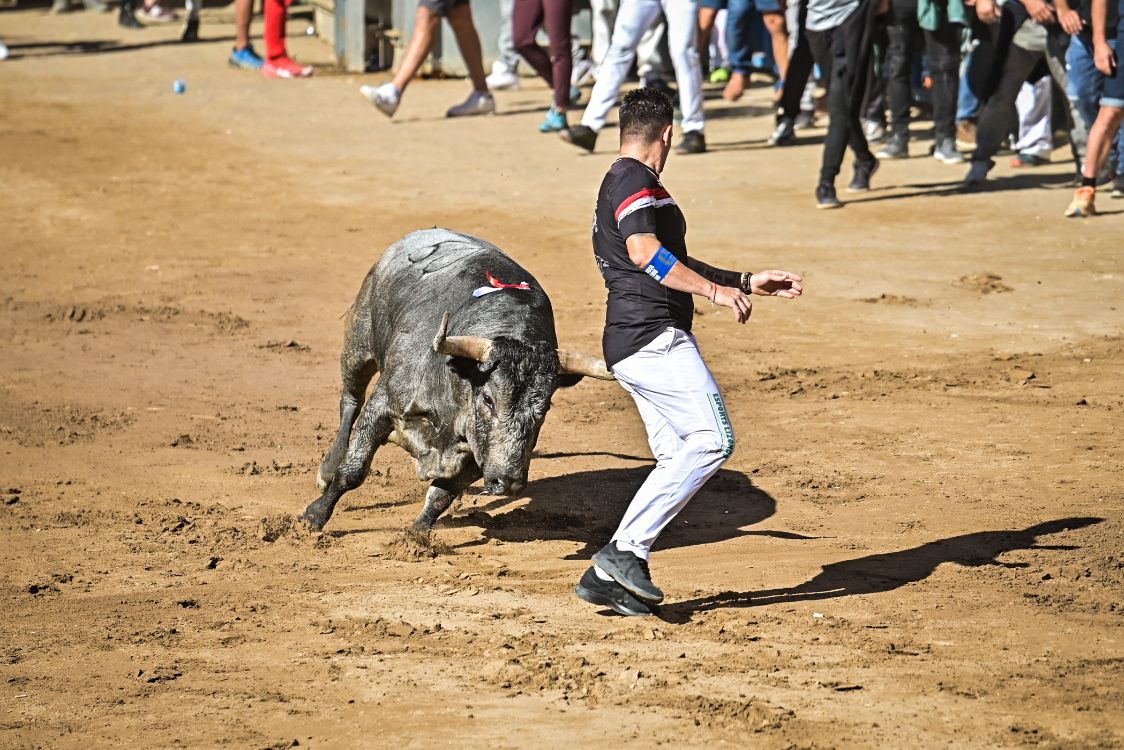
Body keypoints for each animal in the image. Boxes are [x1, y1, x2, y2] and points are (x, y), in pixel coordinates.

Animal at [298, 226, 615, 537]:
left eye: (545, 408)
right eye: (488, 399)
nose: (507, 482)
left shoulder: (478, 453)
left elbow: (442, 494)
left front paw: (416, 537)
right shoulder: (383, 405)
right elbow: (353, 470)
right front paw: (312, 518)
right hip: (359, 343)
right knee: (350, 400)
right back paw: (326, 471)